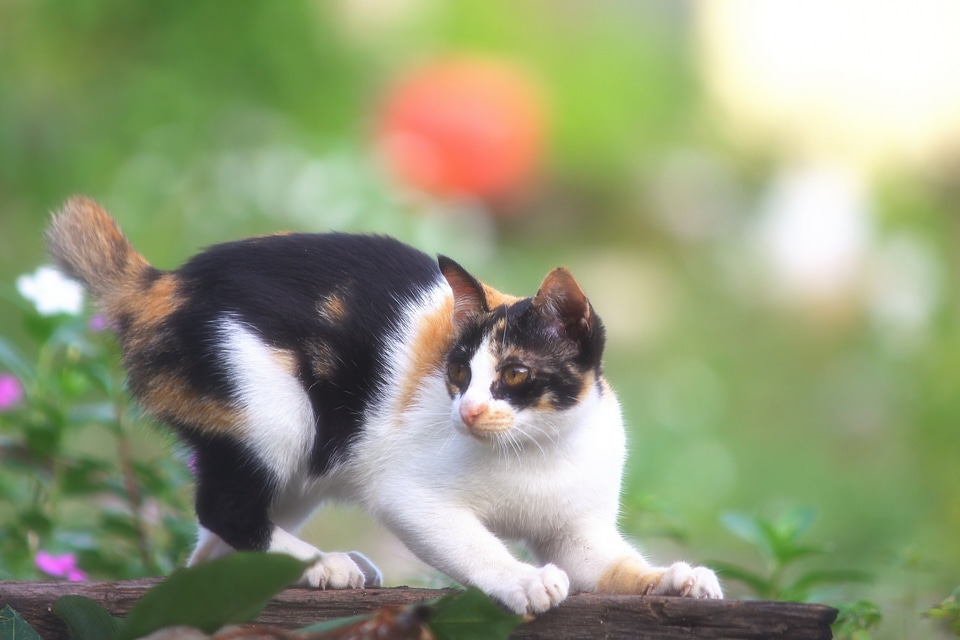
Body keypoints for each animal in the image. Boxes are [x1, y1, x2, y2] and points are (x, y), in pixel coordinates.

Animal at [45, 196, 720, 616]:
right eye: (457, 374)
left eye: (514, 375)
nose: (467, 413)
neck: (535, 450)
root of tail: (161, 284)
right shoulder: (410, 494)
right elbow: (473, 543)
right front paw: (521, 579)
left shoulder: (579, 534)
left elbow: (609, 565)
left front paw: (675, 578)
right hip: (278, 412)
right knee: (226, 509)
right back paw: (323, 565)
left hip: (310, 458)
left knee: (210, 545)